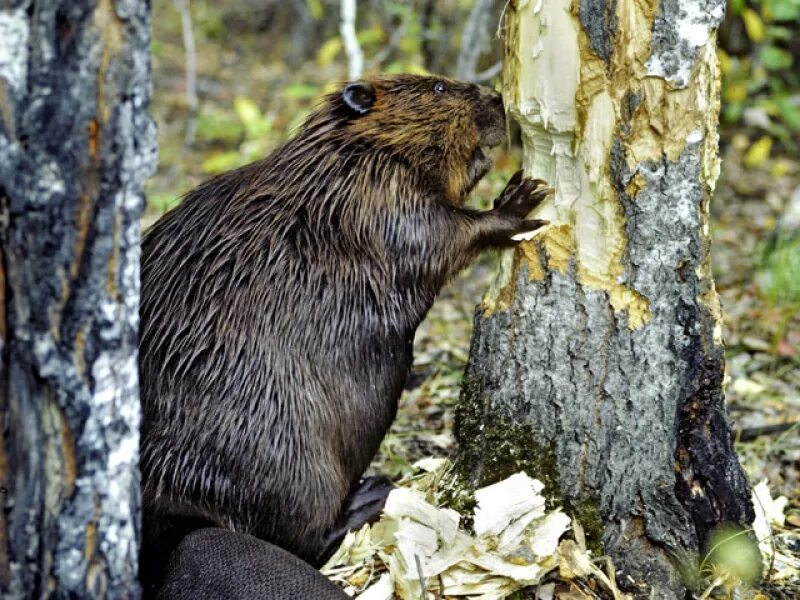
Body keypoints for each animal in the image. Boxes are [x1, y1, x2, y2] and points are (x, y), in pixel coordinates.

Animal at [139, 74, 552, 596]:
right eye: (439, 88)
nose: (497, 99)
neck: (341, 161)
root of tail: (183, 530)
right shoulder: (377, 200)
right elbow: (437, 236)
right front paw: (519, 198)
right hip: (294, 462)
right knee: (305, 536)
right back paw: (371, 493)